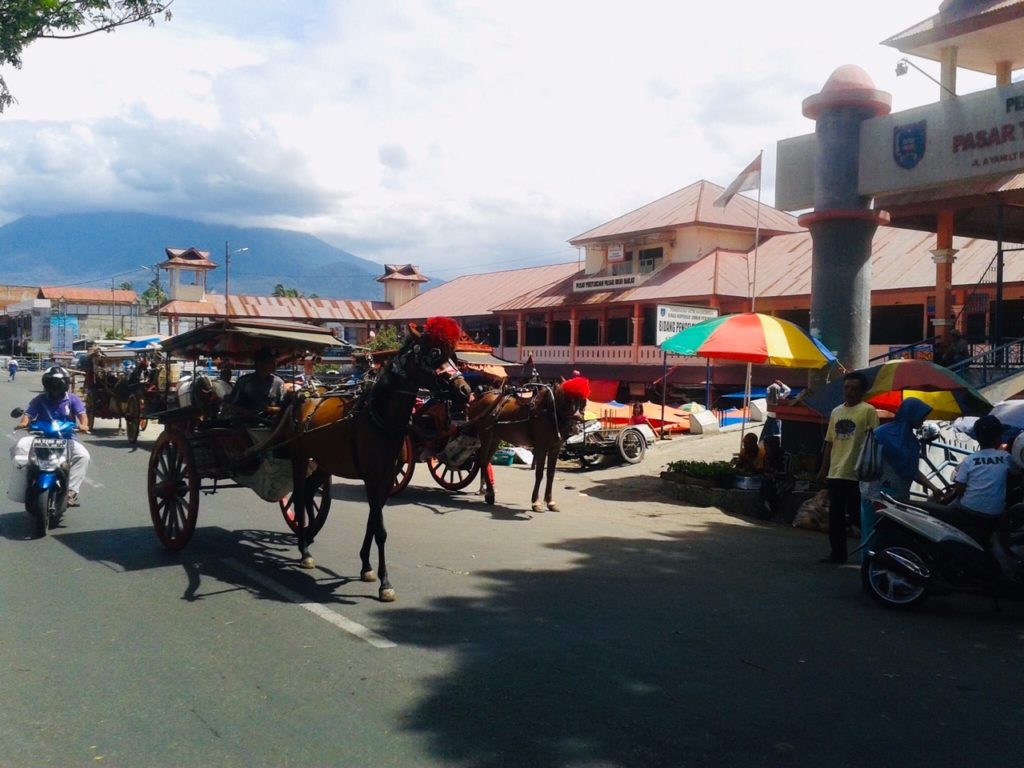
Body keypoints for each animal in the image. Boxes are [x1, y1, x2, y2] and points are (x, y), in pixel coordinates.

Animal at [284, 319, 468, 602]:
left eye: (453, 356)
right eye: (435, 354)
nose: (465, 389)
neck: (380, 415)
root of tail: (304, 393)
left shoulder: (386, 477)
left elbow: (373, 520)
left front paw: (366, 567)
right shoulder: (372, 477)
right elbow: (380, 529)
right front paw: (385, 583)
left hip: (325, 461)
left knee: (306, 494)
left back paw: (307, 540)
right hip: (300, 457)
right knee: (299, 496)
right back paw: (304, 549)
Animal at [468, 376, 589, 512]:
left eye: (584, 402)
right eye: (567, 399)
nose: (574, 428)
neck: (550, 411)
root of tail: (480, 398)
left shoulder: (555, 448)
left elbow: (551, 474)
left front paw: (550, 502)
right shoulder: (541, 448)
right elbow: (539, 473)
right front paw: (536, 502)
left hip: (495, 438)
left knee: (485, 461)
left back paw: (488, 493)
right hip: (485, 436)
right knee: (483, 461)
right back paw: (488, 493)